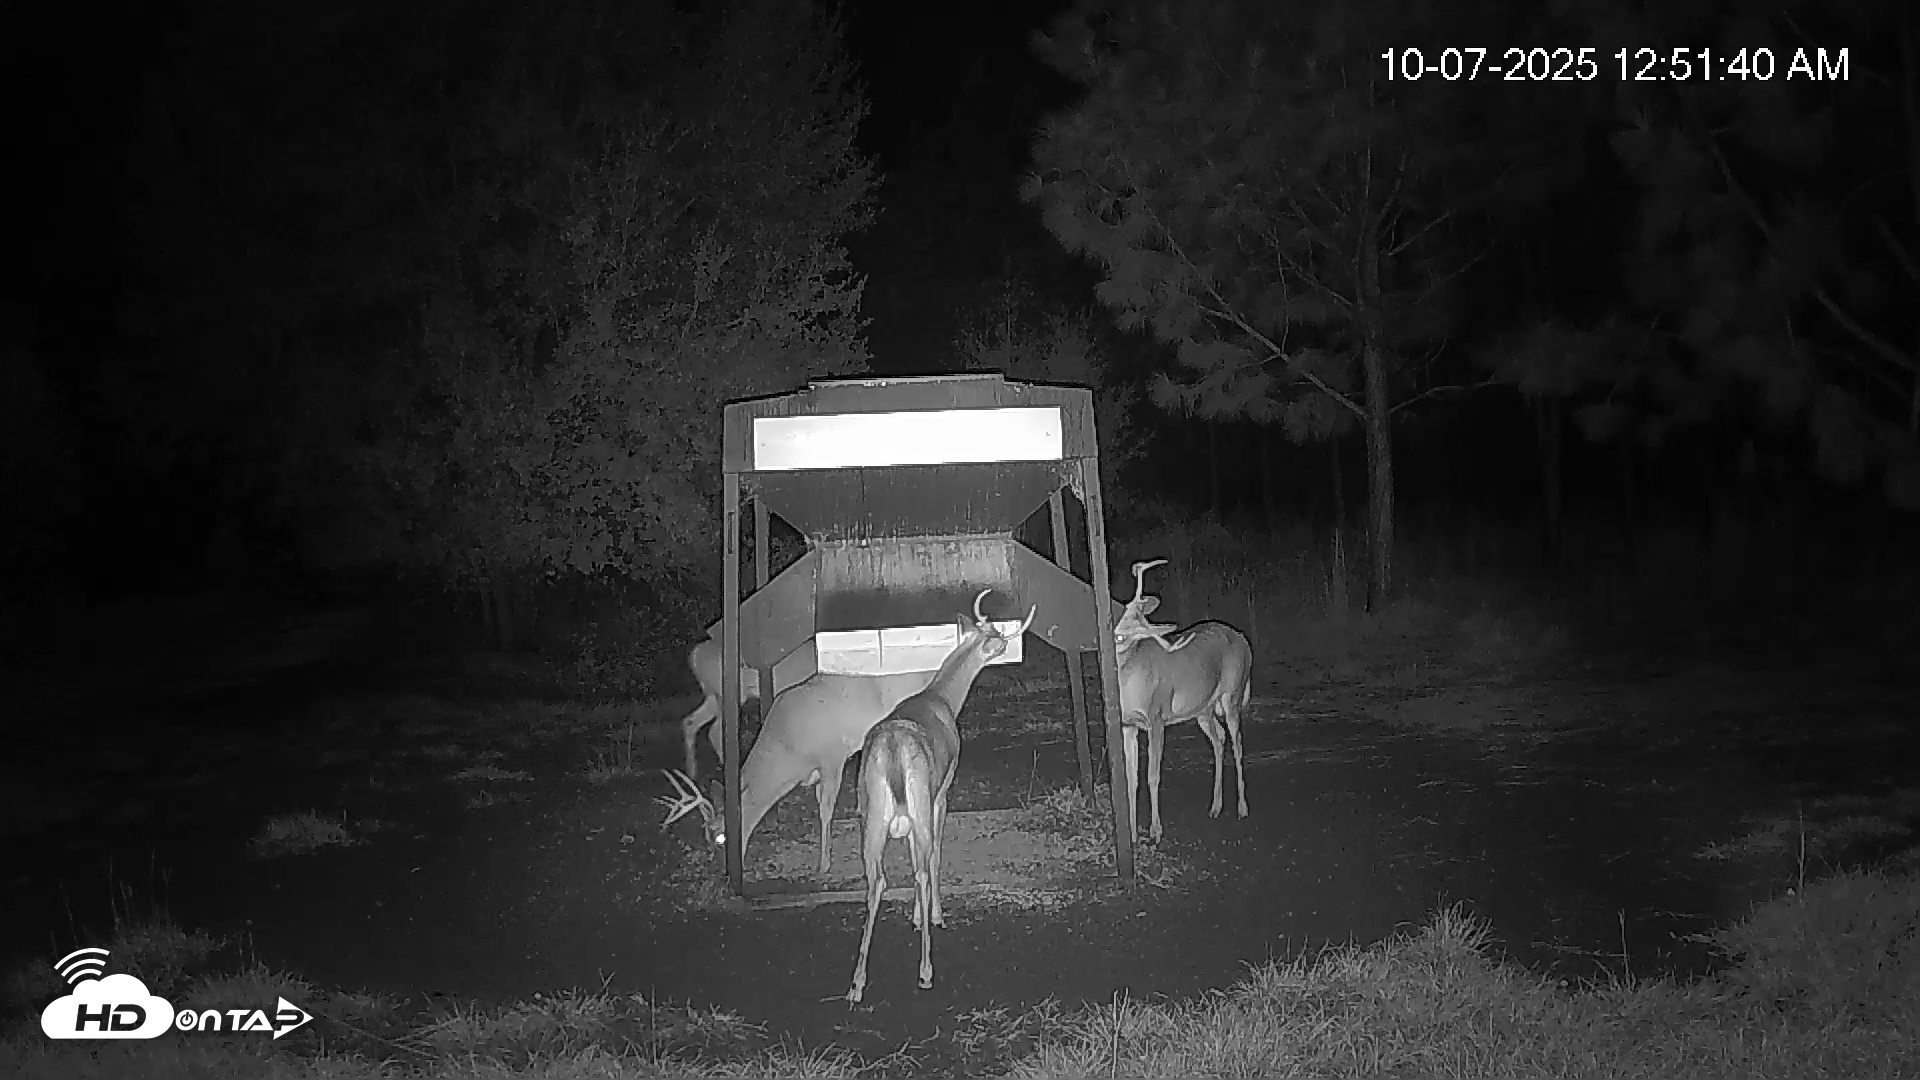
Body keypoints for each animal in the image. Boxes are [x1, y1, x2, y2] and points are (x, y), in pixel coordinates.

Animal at [847, 588, 1035, 1004]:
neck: (941, 698)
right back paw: (926, 970)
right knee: (920, 868)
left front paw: (917, 917)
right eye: (996, 638)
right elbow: (932, 857)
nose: (1003, 647)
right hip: (918, 803)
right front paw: (932, 915)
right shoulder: (941, 792)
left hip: (872, 814)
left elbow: (913, 856)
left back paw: (856, 984)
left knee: (875, 880)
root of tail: (893, 752)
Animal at [1111, 558, 1253, 845]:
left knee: (1238, 742)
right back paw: (1215, 807)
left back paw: (1242, 808)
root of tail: (1244, 640)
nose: (1116, 634)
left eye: (1136, 629)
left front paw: (1156, 831)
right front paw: (1131, 834)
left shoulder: (1156, 718)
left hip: (1232, 696)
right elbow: (1131, 779)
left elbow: (1153, 776)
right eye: (1127, 611)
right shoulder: (1127, 724)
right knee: (1219, 738)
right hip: (1203, 709)